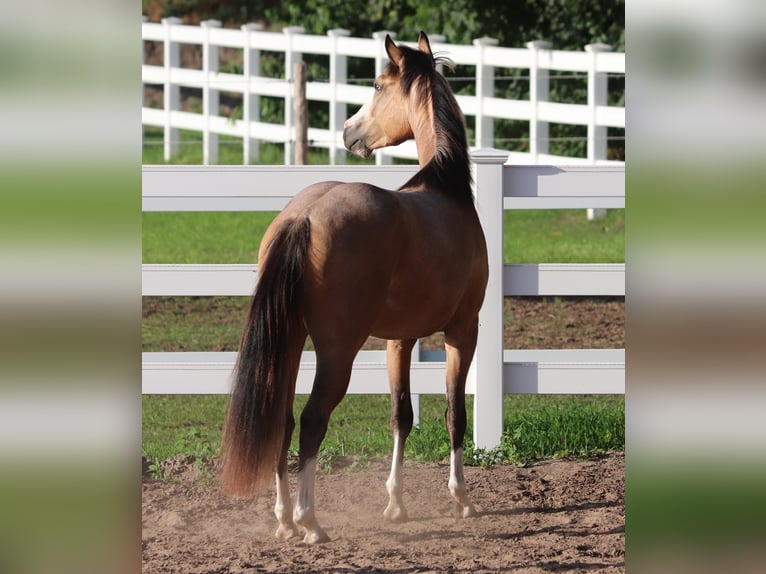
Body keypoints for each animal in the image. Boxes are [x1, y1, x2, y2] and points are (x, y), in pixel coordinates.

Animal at [220, 31, 489, 544]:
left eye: (379, 87)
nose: (348, 132)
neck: (444, 190)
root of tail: (304, 215)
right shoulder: (463, 332)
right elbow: (454, 414)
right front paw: (462, 499)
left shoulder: (399, 340)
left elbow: (402, 415)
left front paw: (396, 504)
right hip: (337, 350)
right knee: (311, 420)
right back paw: (309, 521)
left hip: (290, 342)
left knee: (283, 420)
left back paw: (284, 519)